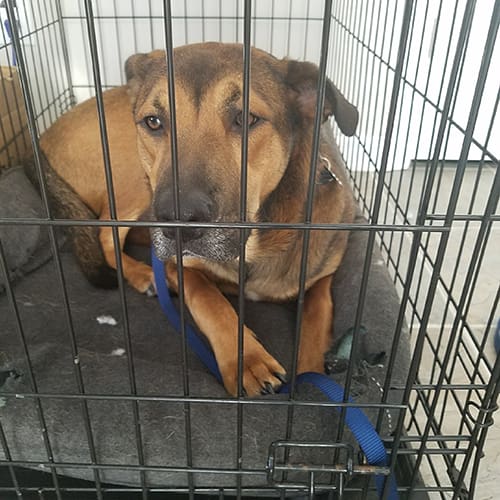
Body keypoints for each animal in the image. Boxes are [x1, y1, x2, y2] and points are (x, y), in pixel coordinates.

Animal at [37, 42, 358, 394]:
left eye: (246, 118)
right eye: (153, 121)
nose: (176, 221)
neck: (253, 246)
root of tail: (41, 138)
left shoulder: (322, 276)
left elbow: (318, 314)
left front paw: (312, 379)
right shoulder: (179, 267)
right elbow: (210, 300)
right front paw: (247, 360)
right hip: (135, 179)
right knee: (107, 235)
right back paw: (142, 274)